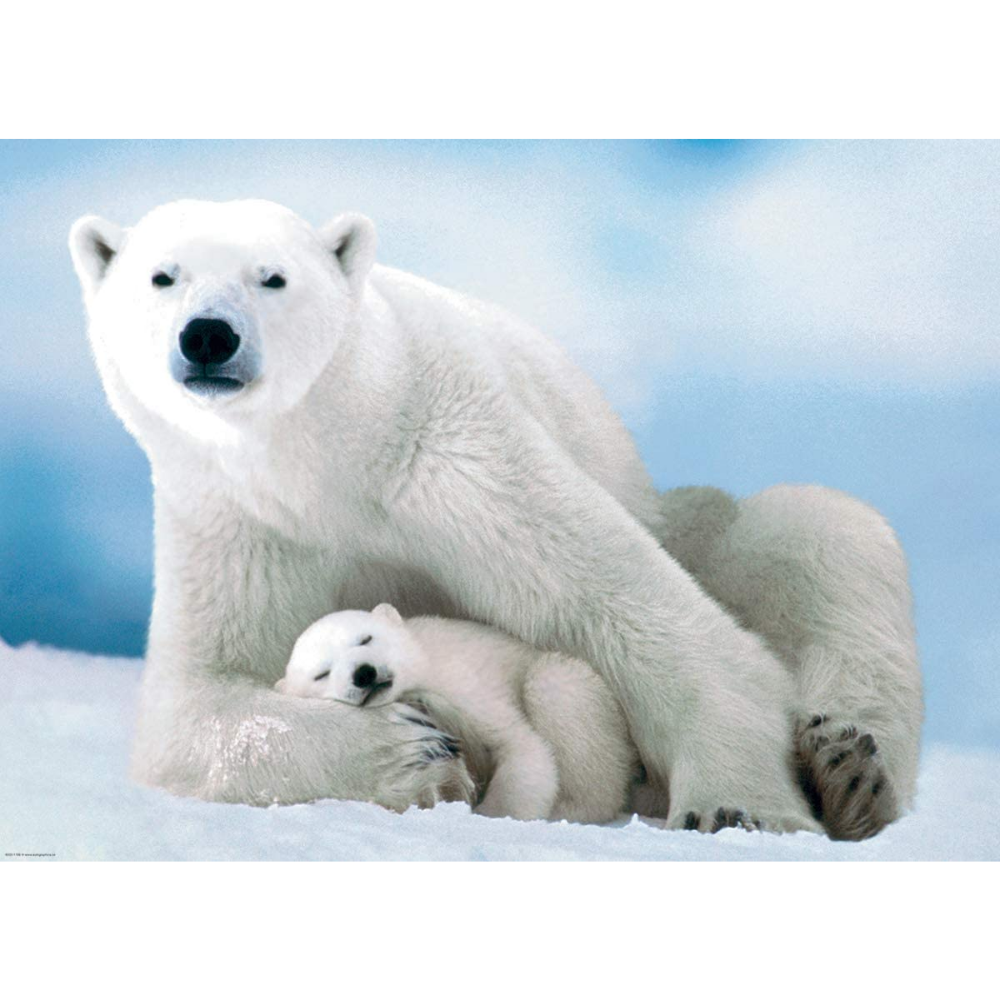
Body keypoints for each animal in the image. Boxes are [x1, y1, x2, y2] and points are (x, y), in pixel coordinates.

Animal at [276, 603, 639, 823]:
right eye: (322, 673)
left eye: (365, 638)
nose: (364, 673)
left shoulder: (462, 682)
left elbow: (520, 746)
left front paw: (494, 814)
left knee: (555, 684)